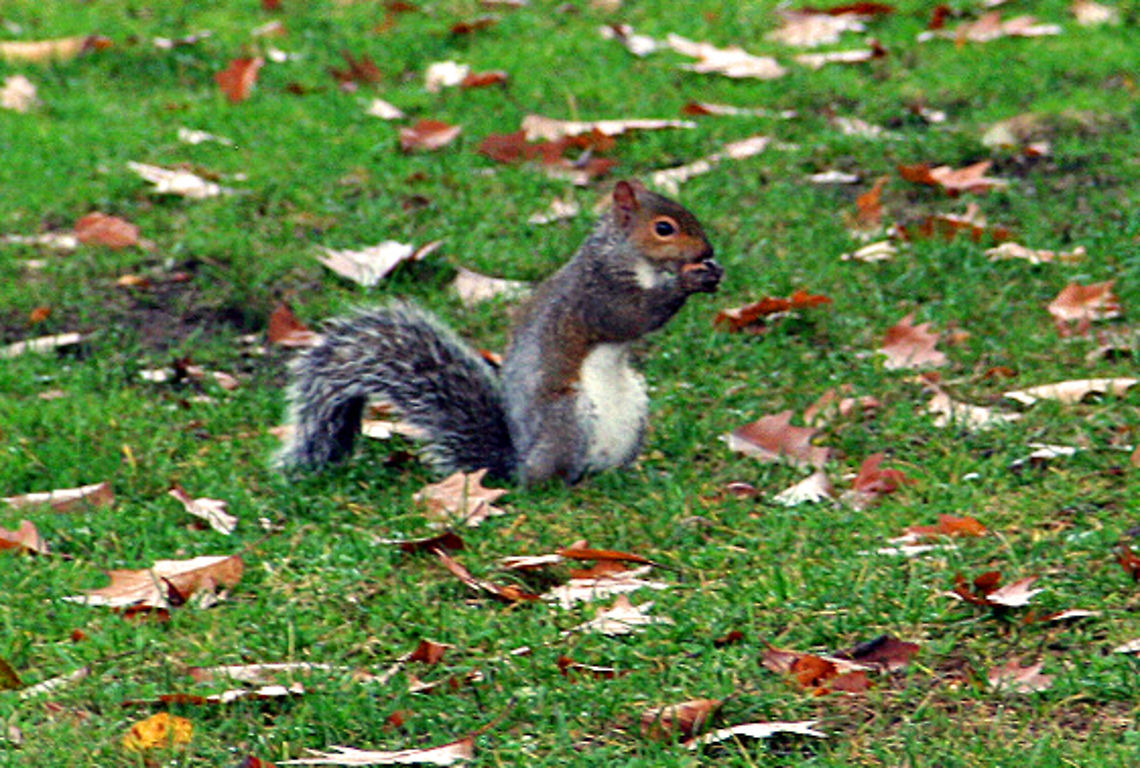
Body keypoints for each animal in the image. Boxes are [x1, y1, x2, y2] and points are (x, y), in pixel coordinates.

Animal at [277, 179, 723, 485]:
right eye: (664, 228)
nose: (707, 252)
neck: (623, 256)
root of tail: (519, 465)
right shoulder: (597, 295)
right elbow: (633, 316)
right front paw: (689, 280)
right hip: (567, 417)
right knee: (553, 478)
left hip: (633, 408)